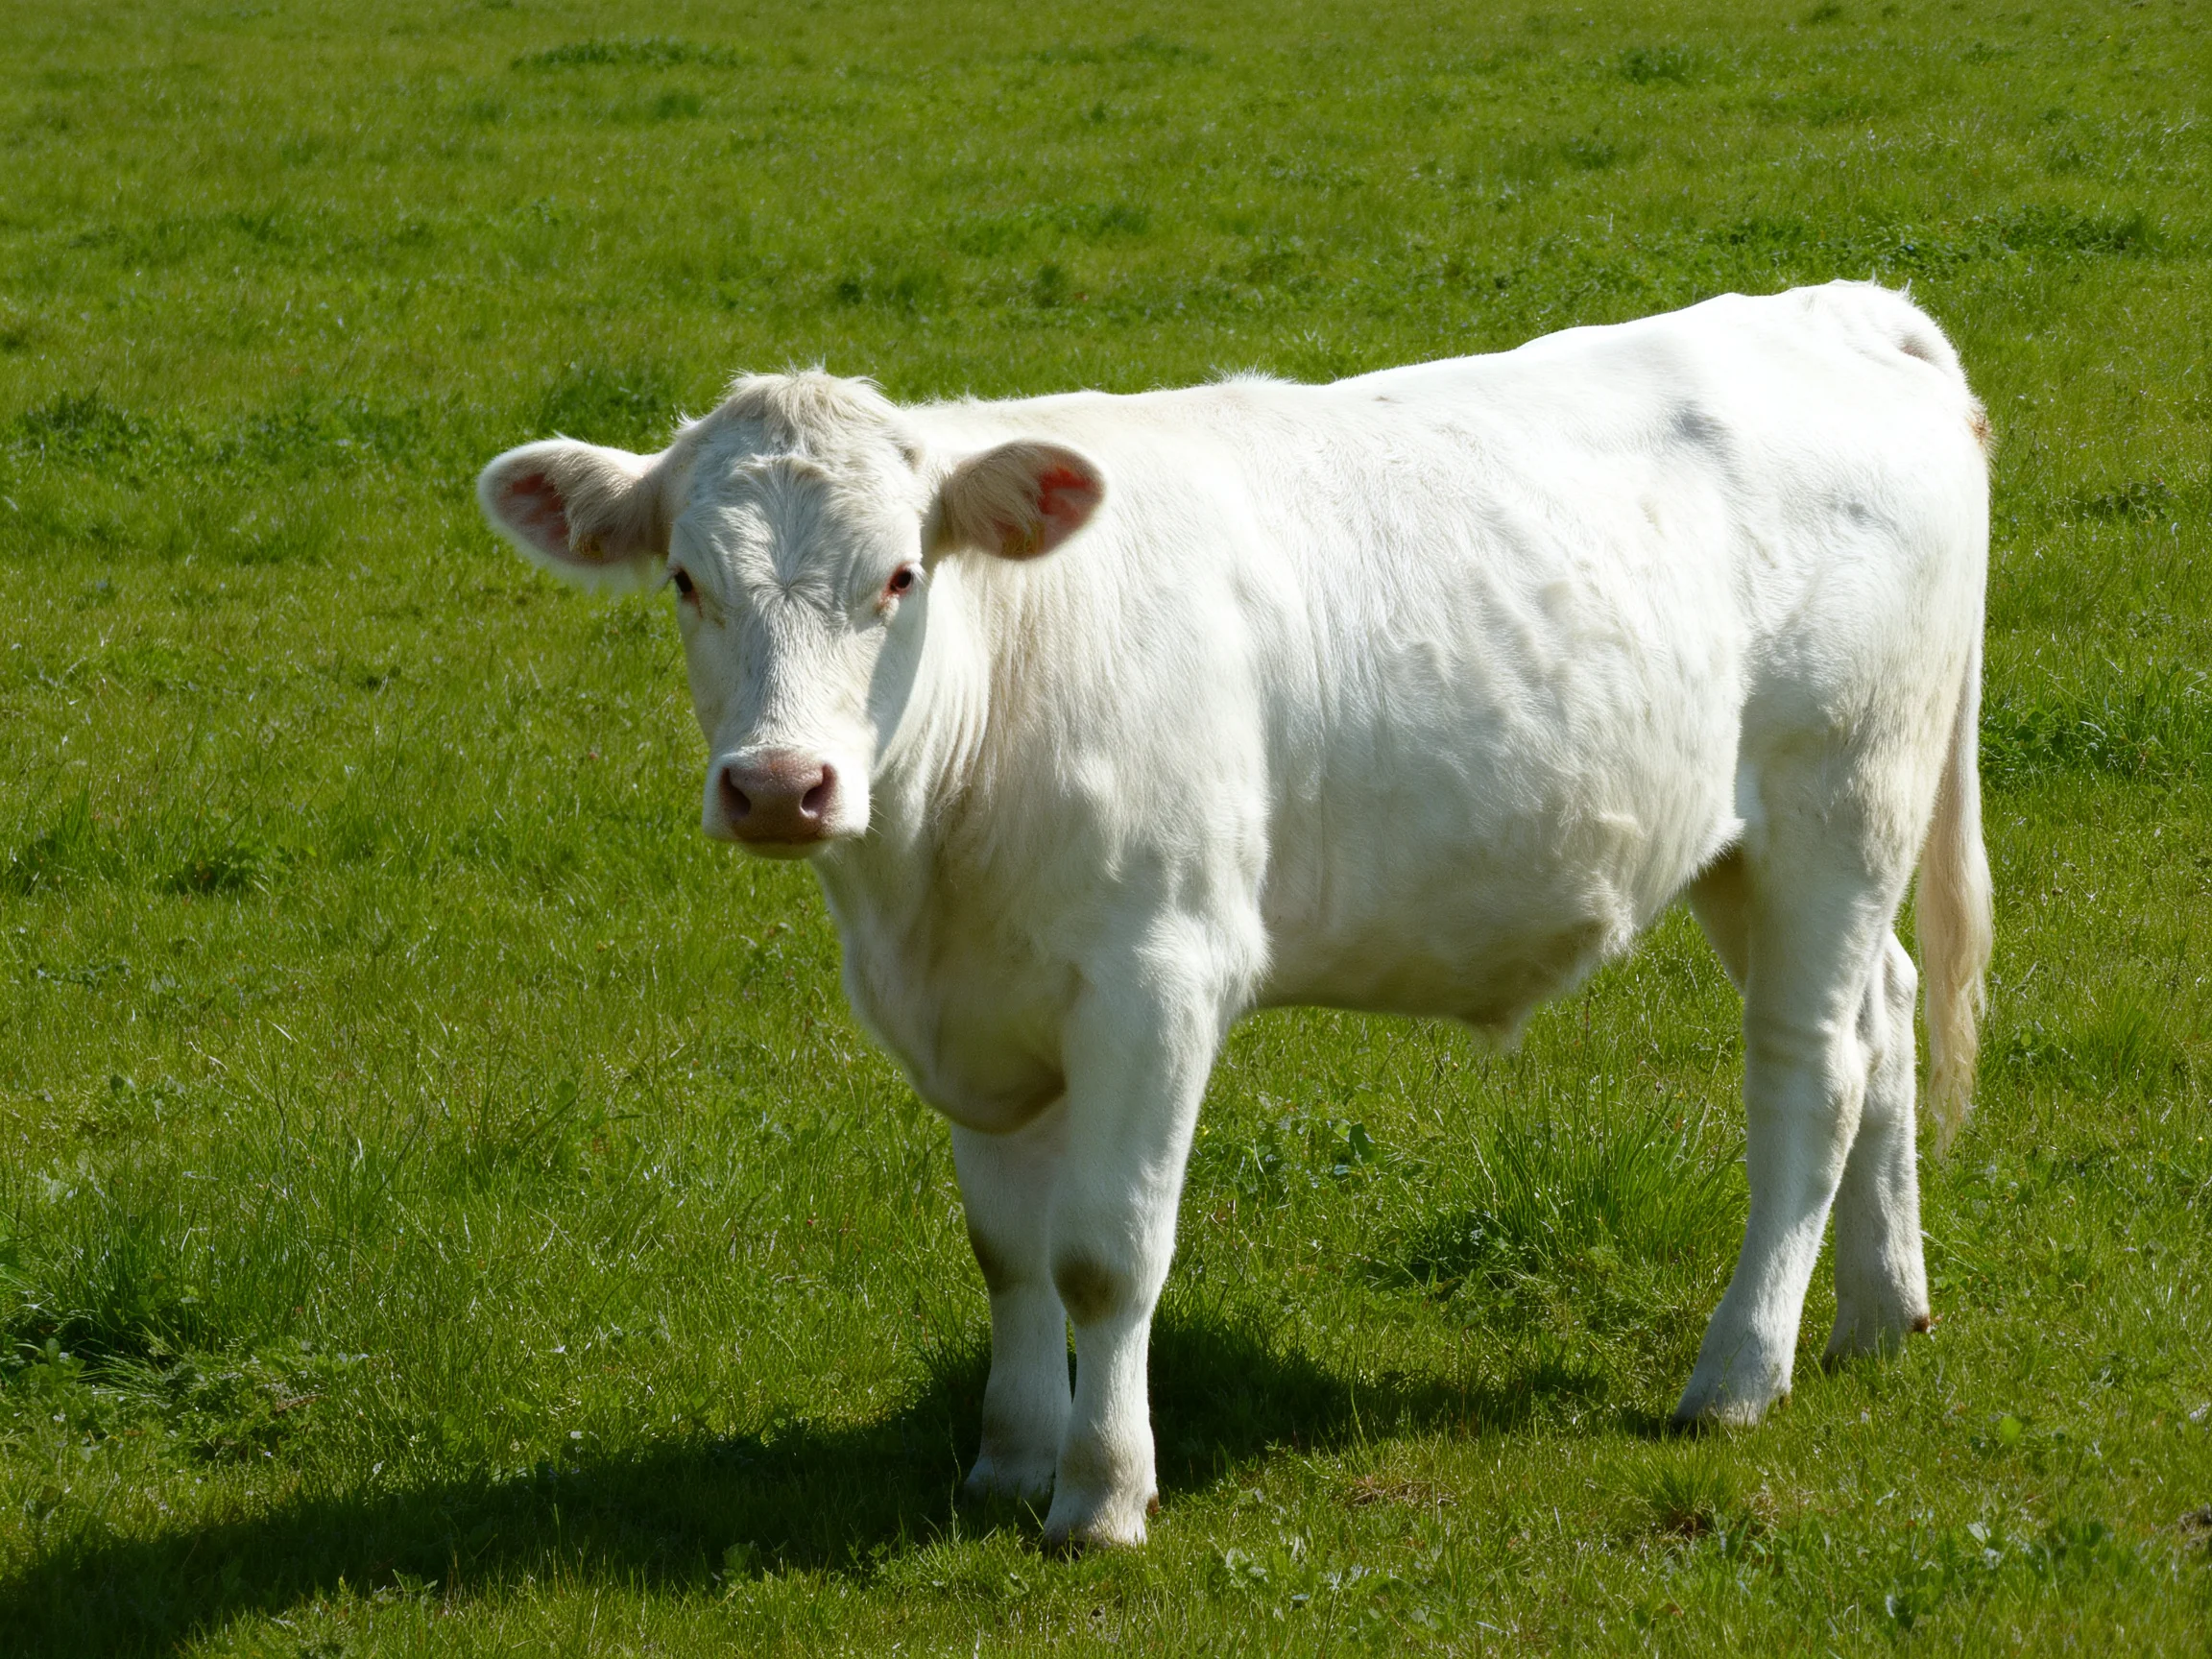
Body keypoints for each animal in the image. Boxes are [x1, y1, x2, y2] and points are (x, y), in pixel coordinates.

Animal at [478, 281, 1994, 1551]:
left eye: (901, 577)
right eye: (689, 581)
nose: (782, 785)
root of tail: (1838, 307)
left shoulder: (1156, 981)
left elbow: (1105, 1255)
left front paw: (1099, 1497)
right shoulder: (977, 1014)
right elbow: (1007, 1252)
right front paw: (1006, 1464)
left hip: (1839, 801)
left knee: (1813, 1072)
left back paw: (1738, 1372)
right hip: (1747, 849)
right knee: (1888, 1014)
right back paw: (1879, 1314)